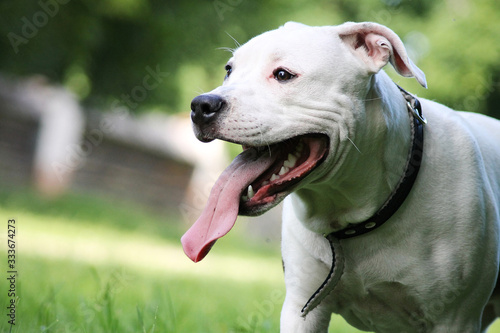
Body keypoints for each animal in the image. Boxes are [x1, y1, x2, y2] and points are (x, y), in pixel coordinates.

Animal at [182, 22, 500, 330]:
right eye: (229, 70)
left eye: (283, 74)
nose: (201, 105)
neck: (357, 217)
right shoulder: (302, 309)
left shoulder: (455, 318)